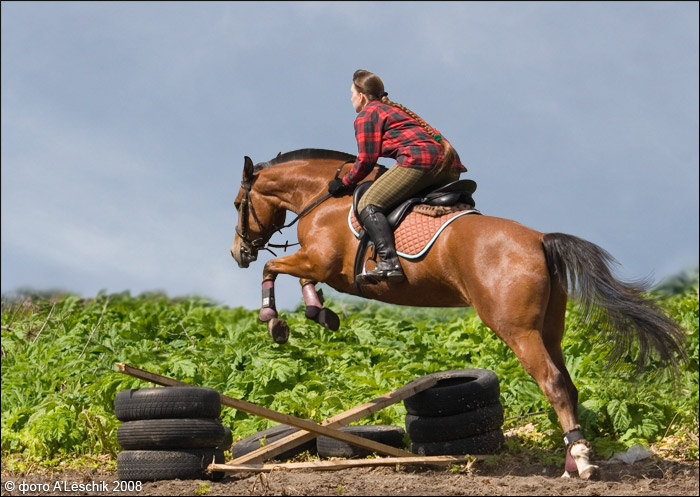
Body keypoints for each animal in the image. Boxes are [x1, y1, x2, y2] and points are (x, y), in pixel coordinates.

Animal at [228, 147, 684, 476]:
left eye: (237, 204)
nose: (238, 253)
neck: (323, 198)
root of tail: (540, 240)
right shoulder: (317, 266)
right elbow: (294, 277)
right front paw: (319, 314)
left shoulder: (321, 263)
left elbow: (275, 269)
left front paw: (275, 322)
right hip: (549, 328)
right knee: (568, 386)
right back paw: (573, 460)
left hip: (516, 330)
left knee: (553, 383)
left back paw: (584, 463)